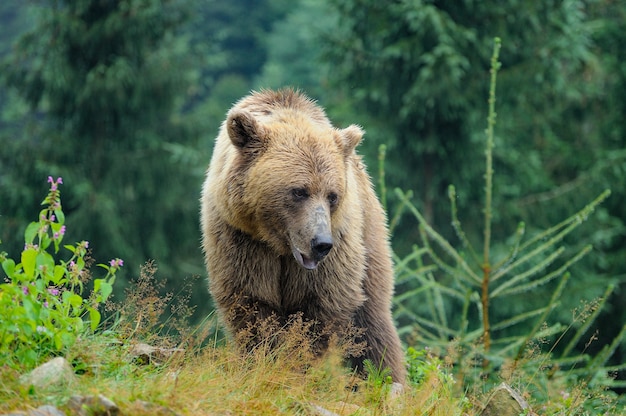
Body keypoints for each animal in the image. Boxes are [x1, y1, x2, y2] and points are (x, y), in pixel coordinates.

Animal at [200, 88, 404, 384]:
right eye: (299, 191)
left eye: (332, 195)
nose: (321, 244)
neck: (278, 244)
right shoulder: (240, 238)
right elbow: (252, 301)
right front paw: (265, 361)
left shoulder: (335, 252)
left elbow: (318, 310)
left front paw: (297, 366)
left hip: (369, 239)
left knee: (372, 325)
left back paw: (384, 378)